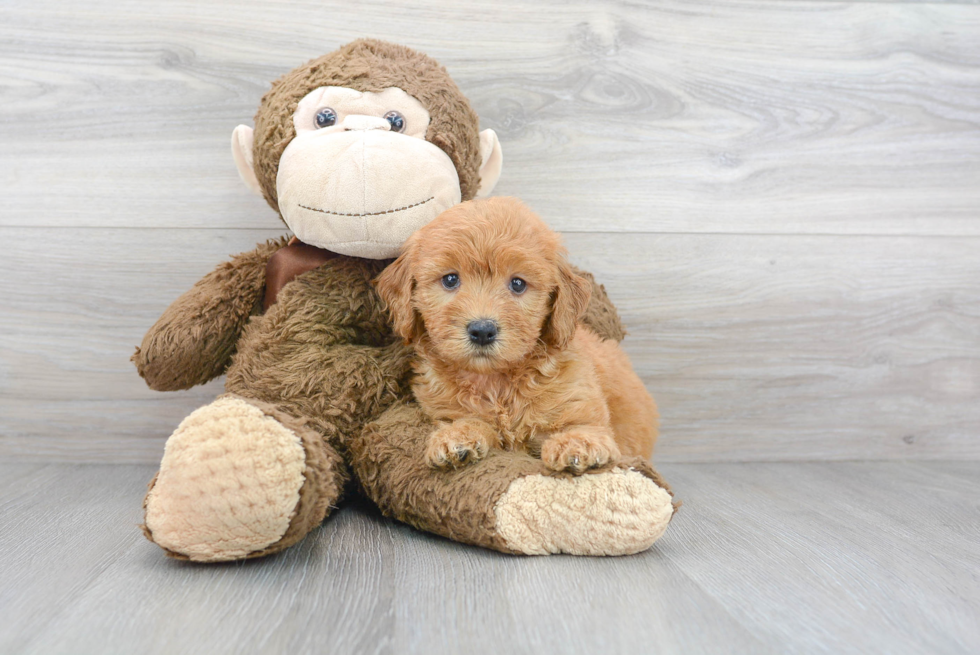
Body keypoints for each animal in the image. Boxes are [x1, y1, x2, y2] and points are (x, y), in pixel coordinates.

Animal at [376, 197, 660, 474]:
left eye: (518, 284)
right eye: (450, 280)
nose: (482, 330)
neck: (496, 382)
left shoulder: (580, 402)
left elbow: (585, 427)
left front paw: (576, 444)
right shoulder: (444, 409)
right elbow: (471, 421)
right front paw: (458, 436)